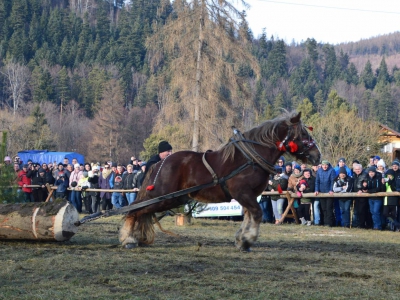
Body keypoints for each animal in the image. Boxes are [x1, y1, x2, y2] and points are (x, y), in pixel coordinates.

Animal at [119, 110, 322, 251]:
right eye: (304, 135)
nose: (317, 156)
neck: (250, 158)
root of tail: (161, 162)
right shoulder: (242, 193)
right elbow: (257, 214)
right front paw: (247, 240)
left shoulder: (249, 195)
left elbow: (249, 215)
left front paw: (241, 240)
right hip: (164, 197)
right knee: (136, 209)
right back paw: (129, 239)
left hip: (172, 198)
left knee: (142, 211)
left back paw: (136, 237)